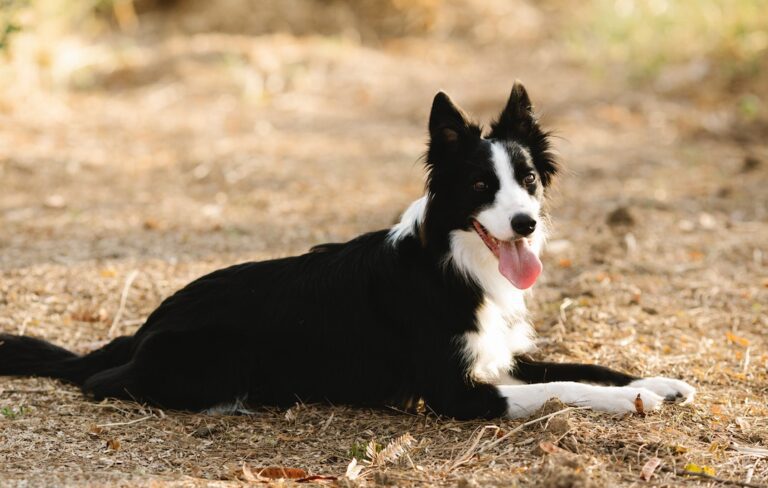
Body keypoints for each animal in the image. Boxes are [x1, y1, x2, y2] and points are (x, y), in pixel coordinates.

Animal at [0, 84, 696, 420]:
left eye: (527, 180)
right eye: (479, 187)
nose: (524, 224)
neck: (451, 263)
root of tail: (146, 325)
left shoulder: (498, 354)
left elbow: (585, 365)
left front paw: (658, 382)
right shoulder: (455, 391)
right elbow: (563, 388)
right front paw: (634, 402)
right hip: (210, 357)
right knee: (102, 383)